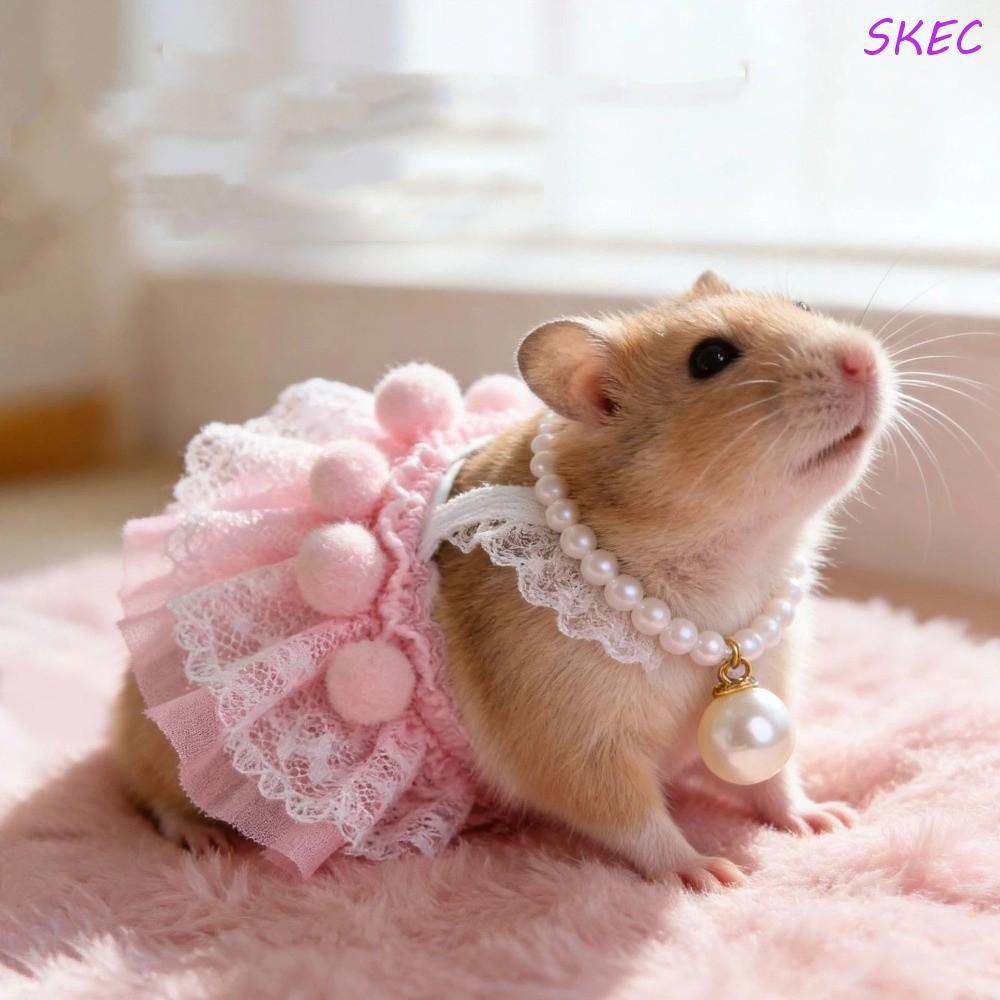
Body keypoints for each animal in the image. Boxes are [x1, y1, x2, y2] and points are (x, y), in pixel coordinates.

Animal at [111, 271, 895, 887]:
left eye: (798, 301)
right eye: (712, 357)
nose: (865, 360)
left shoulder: (774, 674)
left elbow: (774, 778)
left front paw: (825, 820)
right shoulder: (573, 744)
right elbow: (637, 820)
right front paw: (711, 871)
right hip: (174, 757)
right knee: (147, 795)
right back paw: (202, 838)